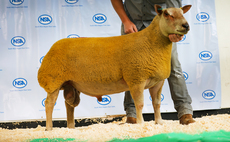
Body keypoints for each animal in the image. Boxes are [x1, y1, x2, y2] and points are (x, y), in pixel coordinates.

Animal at [37, 4, 192, 131]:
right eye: (167, 14)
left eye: (182, 12)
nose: (186, 26)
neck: (150, 42)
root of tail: (52, 48)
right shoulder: (136, 79)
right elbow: (140, 104)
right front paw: (141, 124)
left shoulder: (158, 81)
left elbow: (157, 103)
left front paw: (159, 123)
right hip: (53, 81)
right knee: (49, 104)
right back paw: (49, 129)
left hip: (70, 84)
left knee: (69, 105)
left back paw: (71, 128)